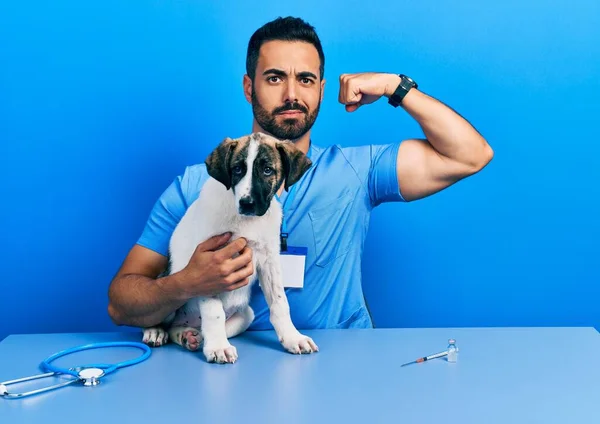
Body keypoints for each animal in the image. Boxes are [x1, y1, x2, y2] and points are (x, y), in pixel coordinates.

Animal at [141, 133, 318, 364]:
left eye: (267, 170)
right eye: (237, 169)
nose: (247, 203)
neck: (247, 221)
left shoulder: (269, 261)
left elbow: (280, 304)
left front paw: (292, 337)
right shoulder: (209, 267)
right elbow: (213, 312)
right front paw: (218, 347)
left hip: (246, 315)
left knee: (183, 329)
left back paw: (189, 336)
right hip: (170, 284)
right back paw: (155, 331)